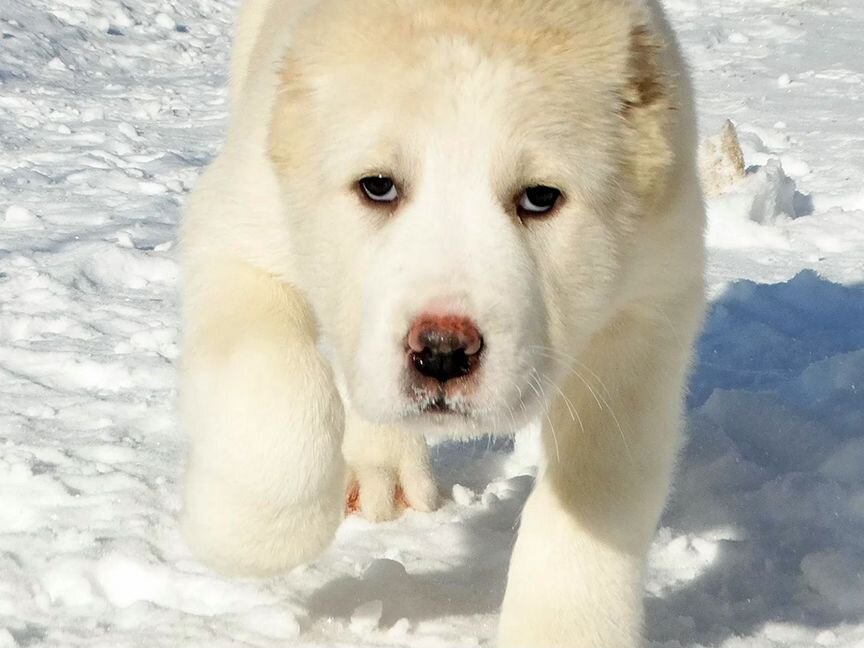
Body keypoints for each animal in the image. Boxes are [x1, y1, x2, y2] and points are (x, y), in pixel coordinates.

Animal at [179, 2, 704, 644]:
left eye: (540, 197)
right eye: (377, 186)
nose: (443, 352)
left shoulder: (648, 307)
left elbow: (596, 492)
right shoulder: (239, 230)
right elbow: (280, 397)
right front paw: (242, 534)